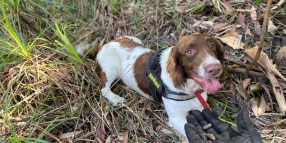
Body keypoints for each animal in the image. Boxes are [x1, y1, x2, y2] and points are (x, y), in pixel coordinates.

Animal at [75, 33, 223, 141]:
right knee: (103, 88)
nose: (215, 68)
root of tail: (104, 45)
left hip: (134, 39)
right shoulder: (176, 119)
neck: (188, 87)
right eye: (189, 51)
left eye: (212, 45)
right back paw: (116, 99)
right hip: (111, 69)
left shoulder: (202, 107)